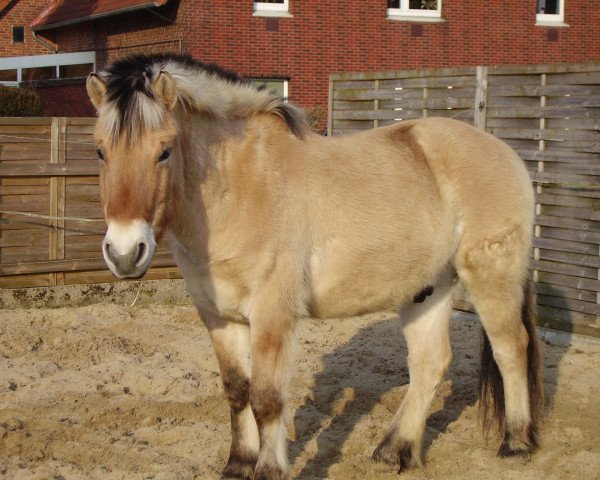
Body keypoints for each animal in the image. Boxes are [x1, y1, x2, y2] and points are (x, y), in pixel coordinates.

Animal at [88, 53, 544, 480]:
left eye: (164, 151)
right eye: (100, 151)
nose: (125, 253)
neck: (242, 187)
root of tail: (505, 153)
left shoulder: (272, 315)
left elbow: (266, 399)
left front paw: (269, 469)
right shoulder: (217, 315)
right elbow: (237, 391)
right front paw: (237, 464)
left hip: (491, 277)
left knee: (510, 349)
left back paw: (515, 443)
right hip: (427, 290)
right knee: (430, 362)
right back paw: (395, 450)